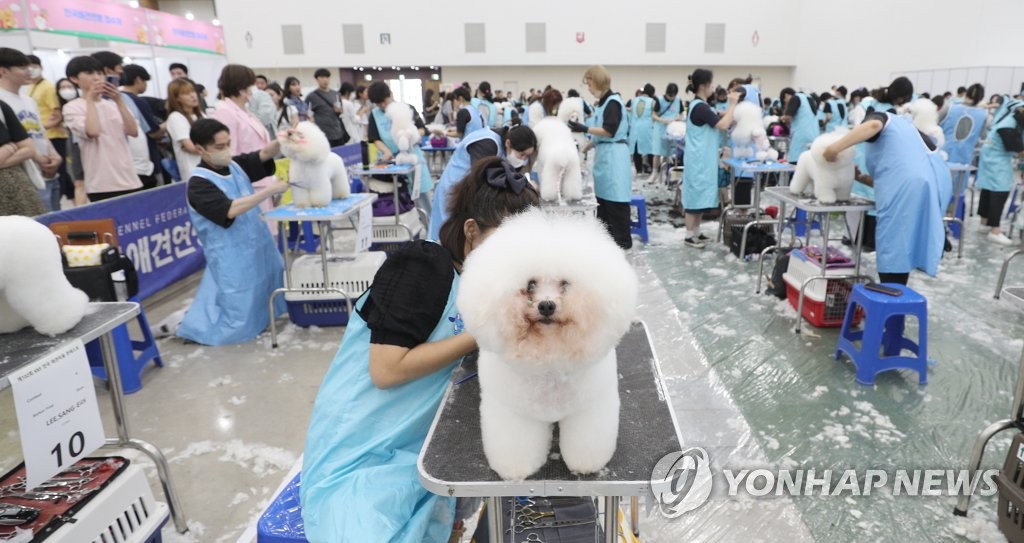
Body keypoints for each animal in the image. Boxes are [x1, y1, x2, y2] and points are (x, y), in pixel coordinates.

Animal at [458, 209, 634, 479]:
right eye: (530, 285)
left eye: (565, 284)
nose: (546, 305)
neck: (550, 357)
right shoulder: (515, 413)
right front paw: (515, 469)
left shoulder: (588, 408)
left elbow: (587, 442)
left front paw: (585, 464)